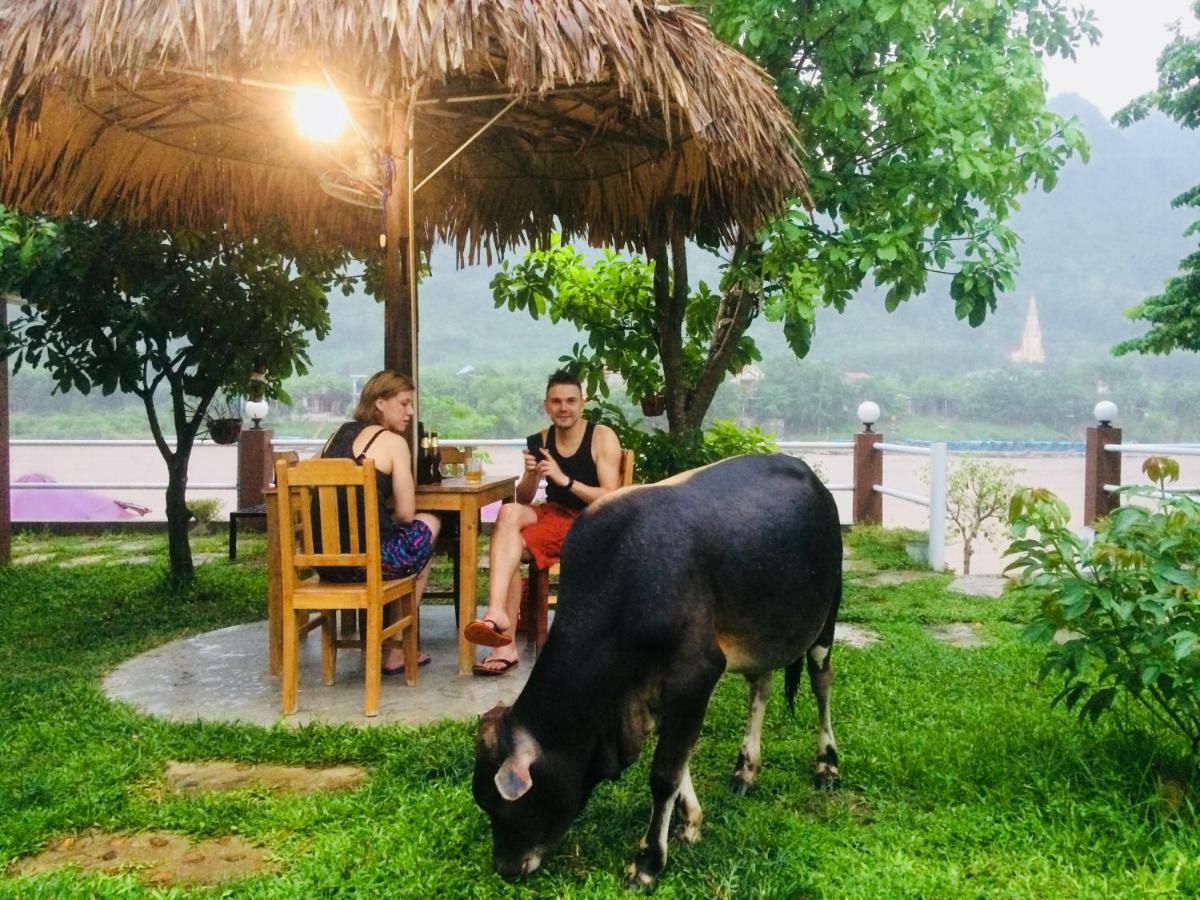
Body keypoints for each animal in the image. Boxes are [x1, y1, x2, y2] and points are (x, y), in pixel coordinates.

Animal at [472, 453, 840, 892]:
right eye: (482, 803)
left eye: (510, 806)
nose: (506, 868)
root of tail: (807, 473)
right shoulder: (657, 691)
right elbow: (679, 764)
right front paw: (688, 823)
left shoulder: (695, 676)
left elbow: (665, 774)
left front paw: (647, 862)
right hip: (760, 635)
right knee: (761, 687)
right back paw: (745, 770)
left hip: (827, 619)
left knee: (821, 683)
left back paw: (827, 764)